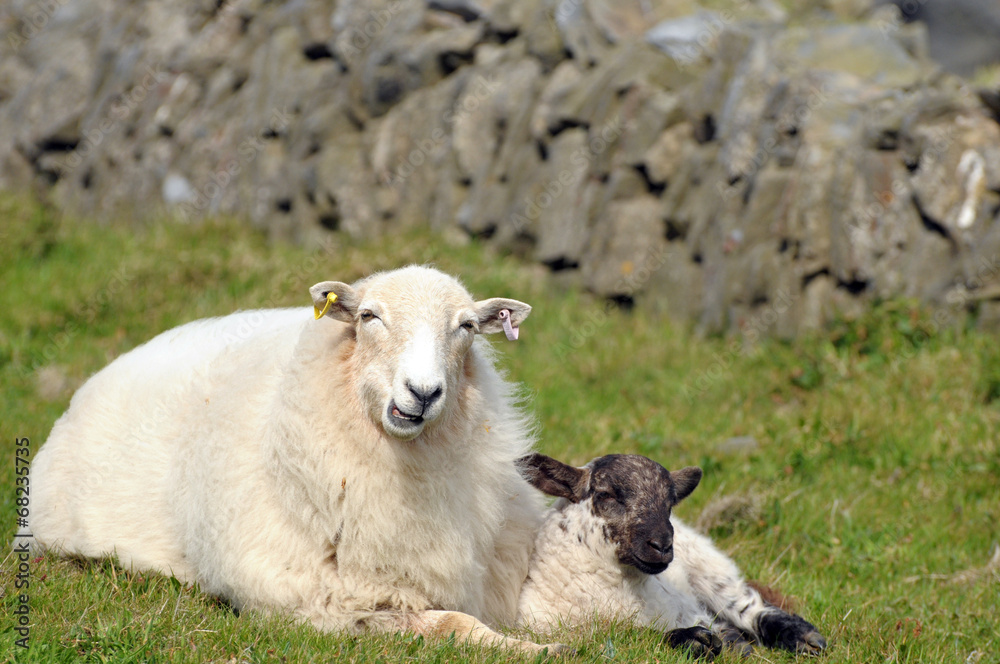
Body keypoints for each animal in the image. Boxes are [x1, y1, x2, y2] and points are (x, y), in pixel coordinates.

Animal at [29, 266, 565, 654]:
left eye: (467, 327)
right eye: (368, 316)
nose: (424, 392)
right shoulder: (321, 603)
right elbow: (452, 624)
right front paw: (537, 650)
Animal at [516, 453, 827, 659]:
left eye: (670, 502)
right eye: (606, 495)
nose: (662, 544)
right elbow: (629, 639)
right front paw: (693, 641)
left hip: (710, 569)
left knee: (748, 607)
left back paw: (804, 639)